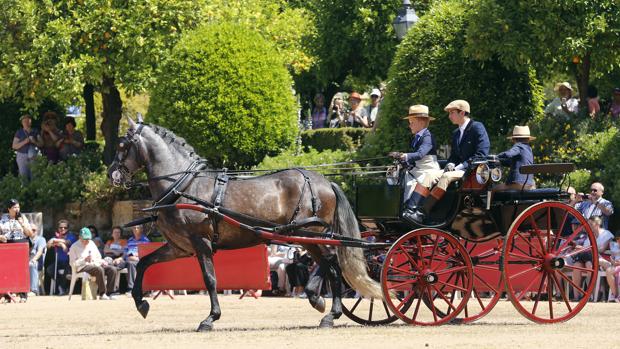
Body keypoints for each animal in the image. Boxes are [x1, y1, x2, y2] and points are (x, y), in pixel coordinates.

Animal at [109, 117, 386, 332]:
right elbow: (144, 262)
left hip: (310, 234)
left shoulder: (201, 243)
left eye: (122, 145)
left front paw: (210, 318)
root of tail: (325, 182)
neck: (184, 186)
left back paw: (326, 307)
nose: (112, 174)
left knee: (332, 264)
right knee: (329, 266)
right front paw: (141, 303)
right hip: (306, 237)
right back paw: (321, 304)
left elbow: (210, 279)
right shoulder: (180, 247)